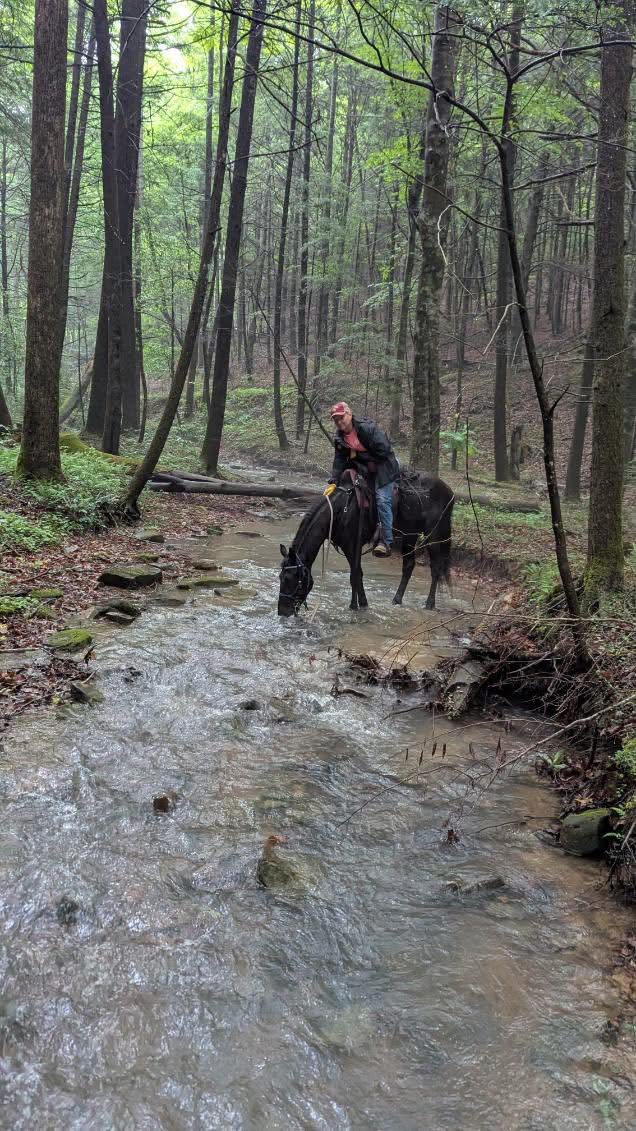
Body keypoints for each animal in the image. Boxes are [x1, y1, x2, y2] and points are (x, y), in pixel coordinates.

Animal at [277, 469, 454, 616]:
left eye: (288, 579)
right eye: (280, 578)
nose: (282, 612)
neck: (341, 510)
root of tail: (449, 491)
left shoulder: (352, 546)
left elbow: (355, 575)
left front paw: (356, 606)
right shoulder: (348, 547)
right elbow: (357, 575)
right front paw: (360, 604)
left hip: (433, 535)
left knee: (436, 567)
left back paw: (429, 603)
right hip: (410, 535)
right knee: (409, 565)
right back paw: (396, 600)